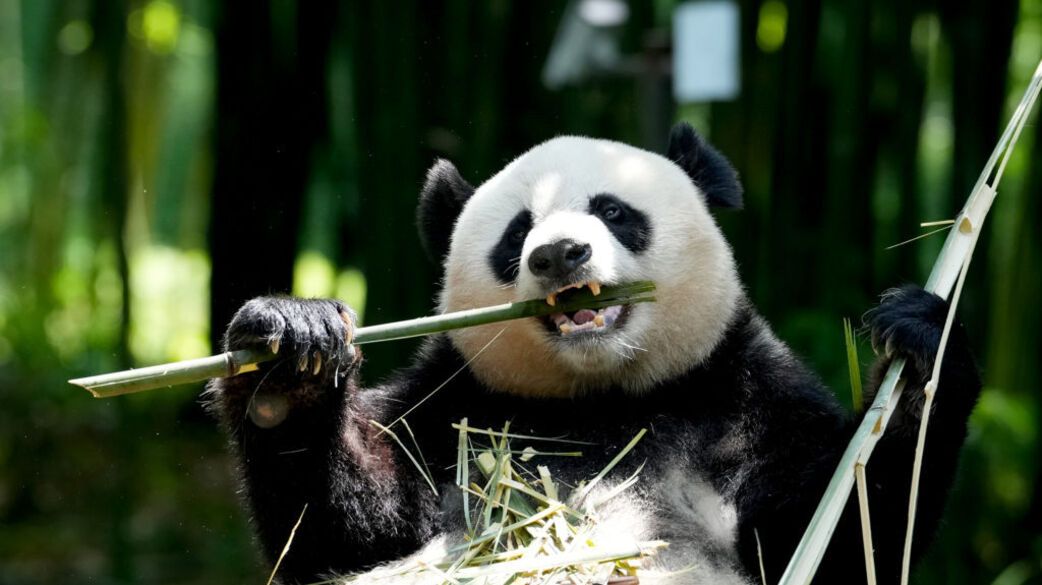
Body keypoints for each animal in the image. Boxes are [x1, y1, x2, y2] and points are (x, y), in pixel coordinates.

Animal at [209, 124, 981, 584]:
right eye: (517, 231)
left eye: (612, 210)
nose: (559, 253)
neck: (601, 398)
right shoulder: (448, 401)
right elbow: (348, 537)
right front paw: (291, 361)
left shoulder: (747, 395)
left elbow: (839, 533)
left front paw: (921, 340)